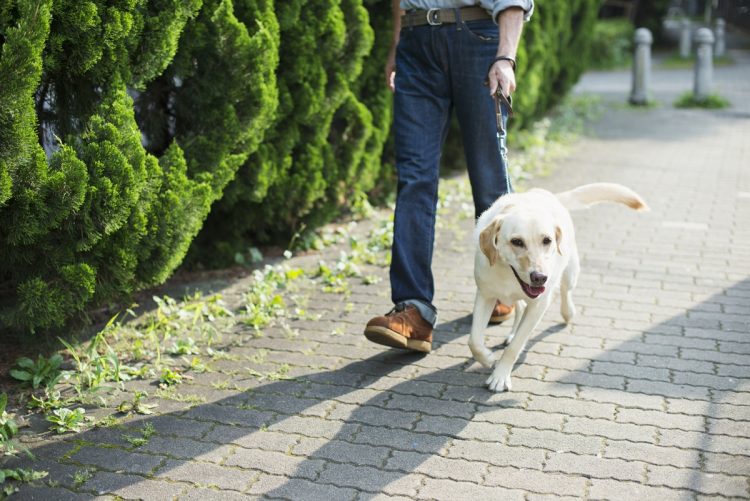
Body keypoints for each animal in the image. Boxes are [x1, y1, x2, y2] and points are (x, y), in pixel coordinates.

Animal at [472, 182, 648, 392]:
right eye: (516, 241)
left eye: (547, 240)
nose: (540, 278)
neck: (508, 275)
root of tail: (548, 195)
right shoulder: (485, 295)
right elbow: (474, 341)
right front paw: (488, 358)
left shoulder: (538, 305)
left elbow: (514, 347)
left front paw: (500, 376)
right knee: (520, 307)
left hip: (571, 269)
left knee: (565, 291)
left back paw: (567, 311)